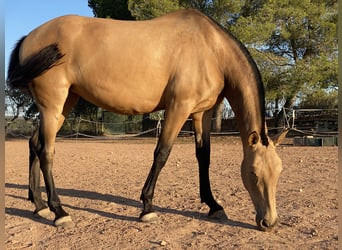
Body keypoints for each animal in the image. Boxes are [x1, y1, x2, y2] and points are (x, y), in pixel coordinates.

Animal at [6, 8, 288, 231]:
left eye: (279, 172)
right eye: (253, 174)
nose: (269, 222)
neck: (210, 50)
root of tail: (30, 36)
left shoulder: (202, 113)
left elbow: (204, 157)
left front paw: (213, 205)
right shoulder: (178, 108)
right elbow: (162, 153)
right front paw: (147, 207)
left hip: (63, 104)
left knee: (34, 144)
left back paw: (39, 204)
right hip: (53, 104)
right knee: (46, 152)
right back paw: (59, 212)